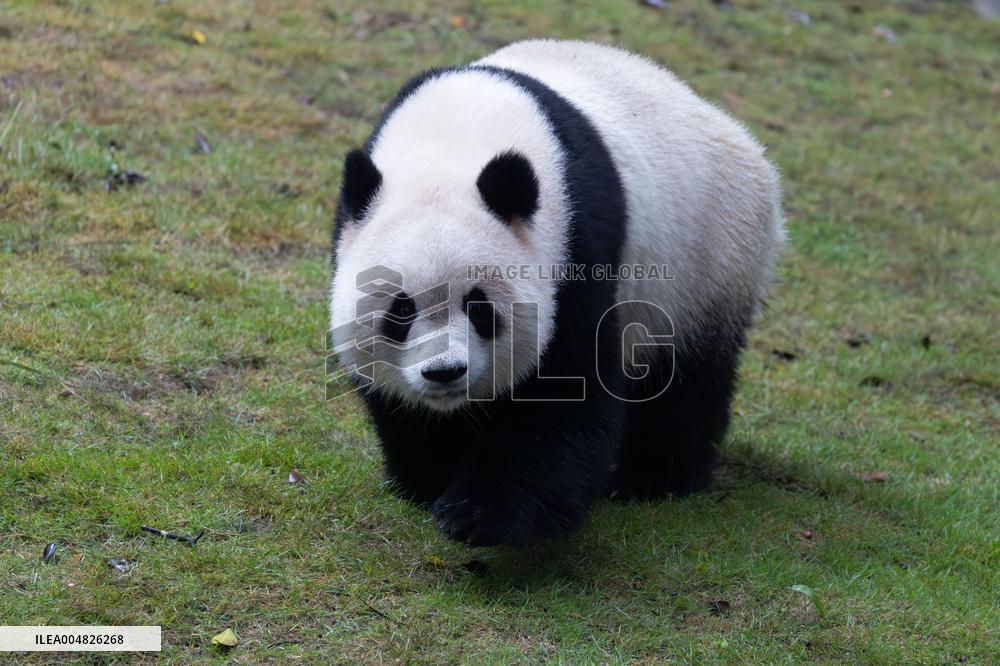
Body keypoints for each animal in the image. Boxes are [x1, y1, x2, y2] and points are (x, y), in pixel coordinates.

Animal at [329, 40, 784, 547]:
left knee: (685, 380)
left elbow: (567, 383)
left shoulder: (576, 241)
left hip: (710, 265)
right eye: (401, 310)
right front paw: (425, 477)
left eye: (479, 307)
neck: (454, 142)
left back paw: (654, 479)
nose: (444, 372)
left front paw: (482, 516)